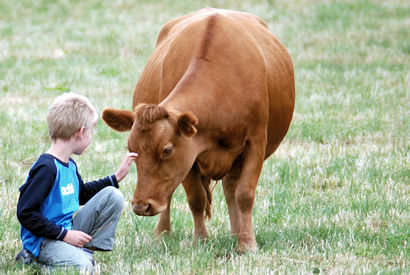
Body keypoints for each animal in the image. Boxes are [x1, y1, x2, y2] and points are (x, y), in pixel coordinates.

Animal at [102, 7, 294, 252]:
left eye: (167, 150)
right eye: (130, 148)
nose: (140, 206)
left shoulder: (256, 142)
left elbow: (244, 194)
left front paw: (247, 244)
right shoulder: (190, 156)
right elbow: (196, 198)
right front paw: (200, 241)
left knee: (232, 190)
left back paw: (236, 234)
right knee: (172, 196)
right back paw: (162, 233)